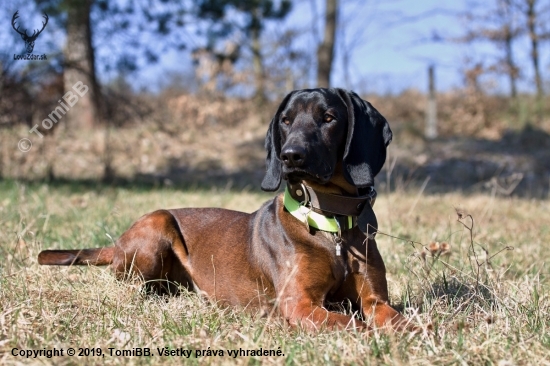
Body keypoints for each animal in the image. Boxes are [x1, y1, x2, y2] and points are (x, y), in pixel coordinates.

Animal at [40, 88, 418, 332]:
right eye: (285, 121)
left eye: (328, 118)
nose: (291, 156)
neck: (329, 221)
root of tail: (115, 246)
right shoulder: (300, 304)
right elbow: (355, 325)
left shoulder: (375, 301)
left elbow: (397, 318)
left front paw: (420, 330)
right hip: (158, 222)